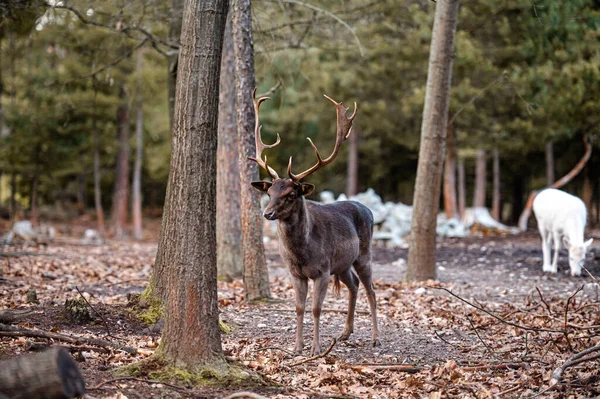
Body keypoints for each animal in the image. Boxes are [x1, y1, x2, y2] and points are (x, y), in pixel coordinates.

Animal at [248, 90, 380, 356]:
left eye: (291, 194)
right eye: (270, 192)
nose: (267, 213)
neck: (303, 252)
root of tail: (368, 209)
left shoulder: (322, 270)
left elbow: (316, 309)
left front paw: (316, 349)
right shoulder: (295, 272)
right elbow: (299, 308)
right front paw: (297, 347)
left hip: (363, 254)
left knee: (371, 289)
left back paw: (375, 338)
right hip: (342, 263)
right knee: (353, 285)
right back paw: (345, 333)